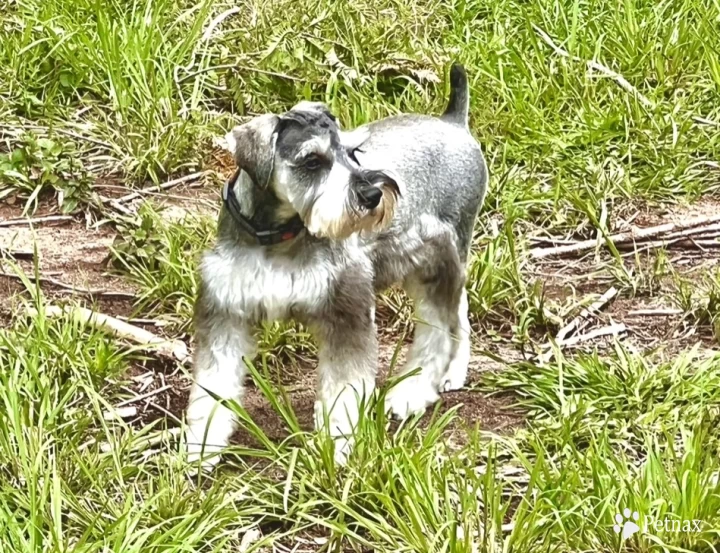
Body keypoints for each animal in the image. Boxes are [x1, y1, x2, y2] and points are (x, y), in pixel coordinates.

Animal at [186, 62, 490, 468]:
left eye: (353, 153)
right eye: (313, 161)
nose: (373, 194)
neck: (277, 234)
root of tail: (454, 123)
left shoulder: (347, 310)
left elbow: (343, 389)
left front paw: (338, 444)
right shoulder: (225, 313)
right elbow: (212, 387)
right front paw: (200, 447)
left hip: (438, 256)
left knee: (443, 324)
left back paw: (411, 392)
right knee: (459, 312)